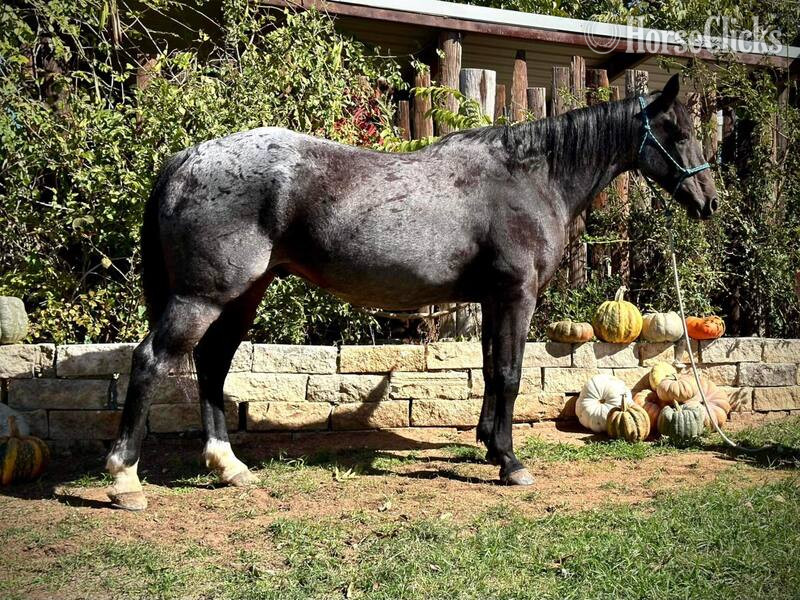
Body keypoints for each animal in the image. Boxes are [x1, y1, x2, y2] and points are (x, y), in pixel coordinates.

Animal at [105, 73, 717, 510]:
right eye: (681, 133)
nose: (709, 202)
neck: (530, 179)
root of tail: (187, 159)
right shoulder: (515, 296)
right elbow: (510, 374)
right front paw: (511, 463)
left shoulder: (491, 300)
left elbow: (491, 371)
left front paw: (490, 445)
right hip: (204, 297)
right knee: (152, 359)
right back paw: (125, 479)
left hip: (242, 295)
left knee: (212, 364)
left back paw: (228, 466)